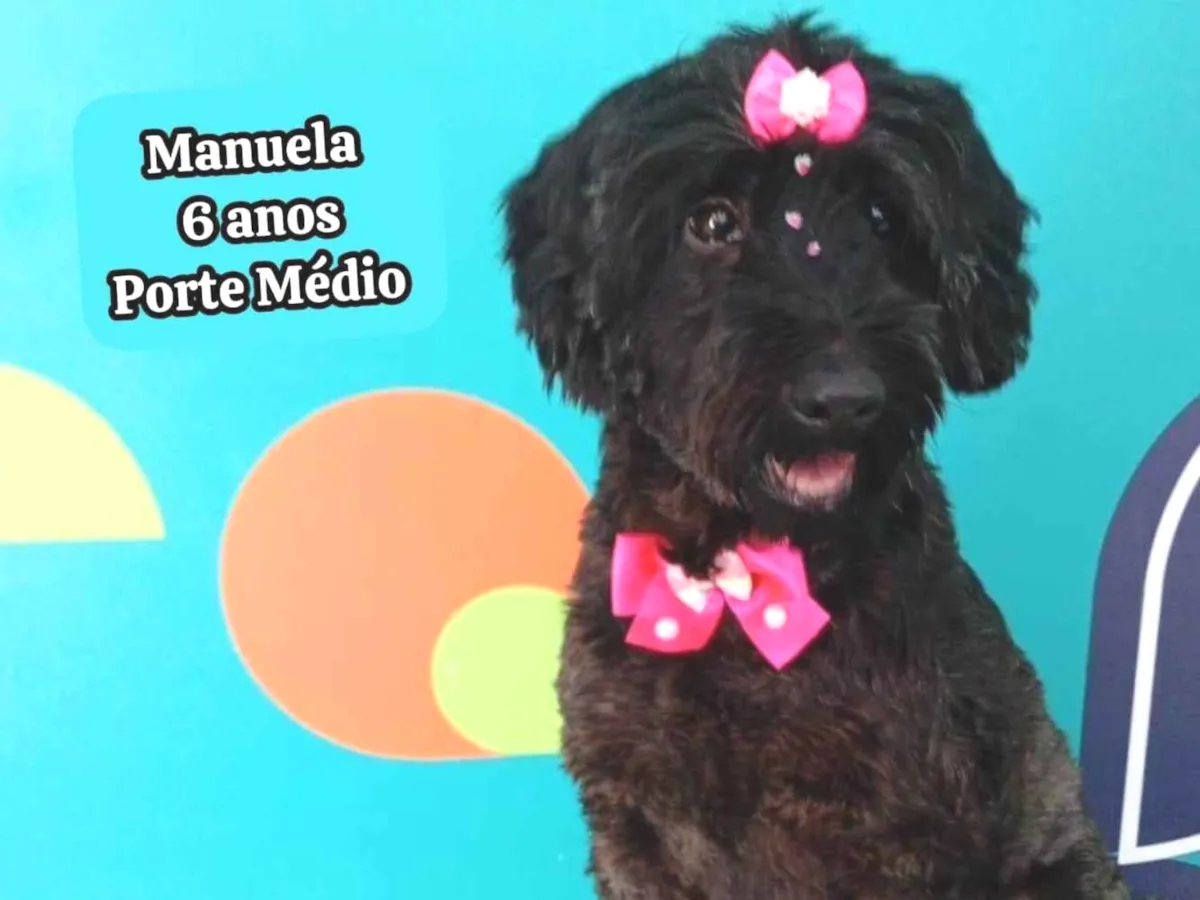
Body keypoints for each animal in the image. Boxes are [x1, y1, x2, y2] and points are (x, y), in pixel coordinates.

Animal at [501, 13, 1132, 900]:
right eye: (712, 221)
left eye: (879, 215)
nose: (843, 398)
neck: (734, 578)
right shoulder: (633, 830)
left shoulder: (893, 835)